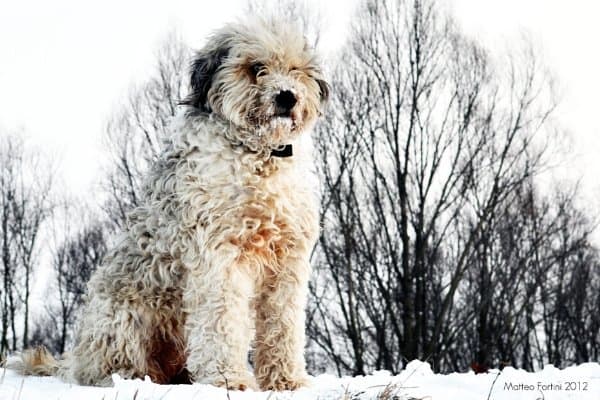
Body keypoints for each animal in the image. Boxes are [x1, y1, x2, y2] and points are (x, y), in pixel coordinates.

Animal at [17, 18, 328, 390]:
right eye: (256, 68)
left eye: (296, 69)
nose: (287, 96)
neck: (259, 156)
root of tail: (75, 358)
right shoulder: (219, 258)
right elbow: (221, 323)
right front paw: (229, 380)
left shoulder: (287, 262)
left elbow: (284, 325)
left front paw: (287, 380)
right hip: (122, 319)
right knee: (111, 365)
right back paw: (131, 378)